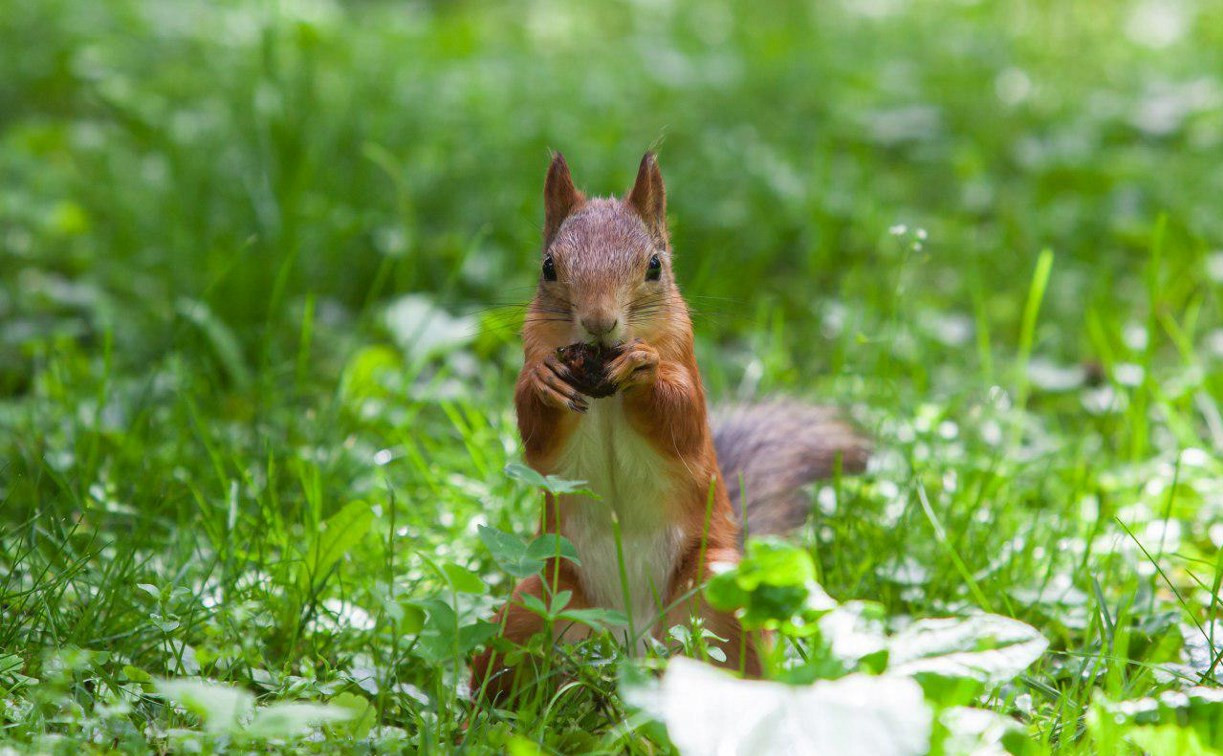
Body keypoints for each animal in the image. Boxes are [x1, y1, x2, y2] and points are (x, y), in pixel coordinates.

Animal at [467, 152, 870, 699]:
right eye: (549, 266)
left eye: (654, 266)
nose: (599, 323)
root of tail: (632, 647)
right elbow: (534, 427)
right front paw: (545, 380)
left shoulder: (685, 363)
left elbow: (680, 417)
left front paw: (644, 368)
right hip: (533, 606)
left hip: (721, 597)